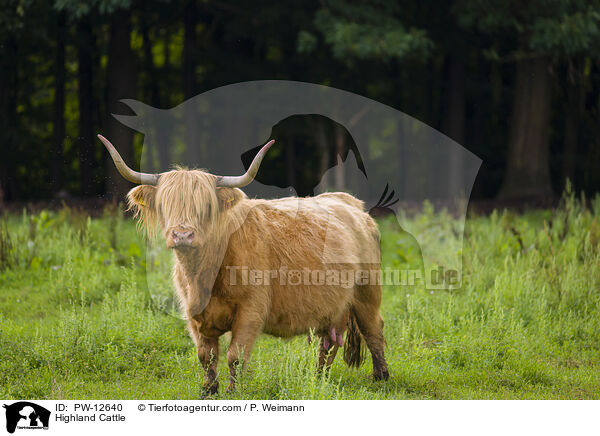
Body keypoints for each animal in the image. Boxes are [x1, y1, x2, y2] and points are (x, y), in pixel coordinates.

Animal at [98, 134, 390, 396]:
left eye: (206, 206)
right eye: (165, 204)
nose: (182, 235)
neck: (204, 274)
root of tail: (351, 203)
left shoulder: (251, 310)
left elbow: (234, 355)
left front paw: (232, 391)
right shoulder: (193, 313)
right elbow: (206, 355)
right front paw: (208, 390)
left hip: (367, 291)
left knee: (373, 329)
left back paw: (381, 377)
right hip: (332, 306)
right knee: (328, 343)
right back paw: (319, 379)